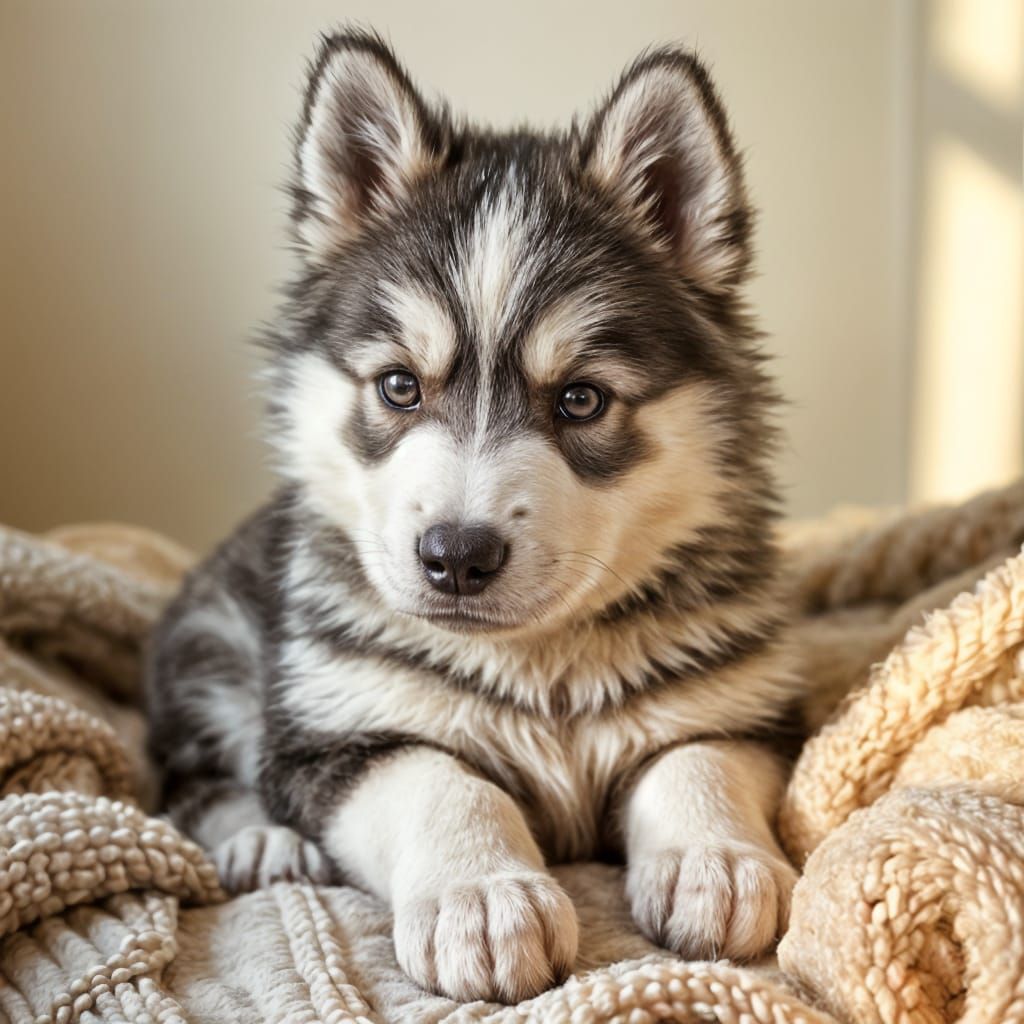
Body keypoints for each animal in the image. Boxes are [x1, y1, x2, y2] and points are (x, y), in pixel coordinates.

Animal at [146, 29, 802, 1003]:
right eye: (398, 387)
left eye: (580, 399)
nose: (455, 555)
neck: (542, 667)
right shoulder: (340, 730)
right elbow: (439, 779)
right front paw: (482, 893)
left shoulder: (747, 706)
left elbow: (698, 758)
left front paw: (714, 858)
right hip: (210, 646)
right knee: (188, 777)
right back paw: (260, 839)